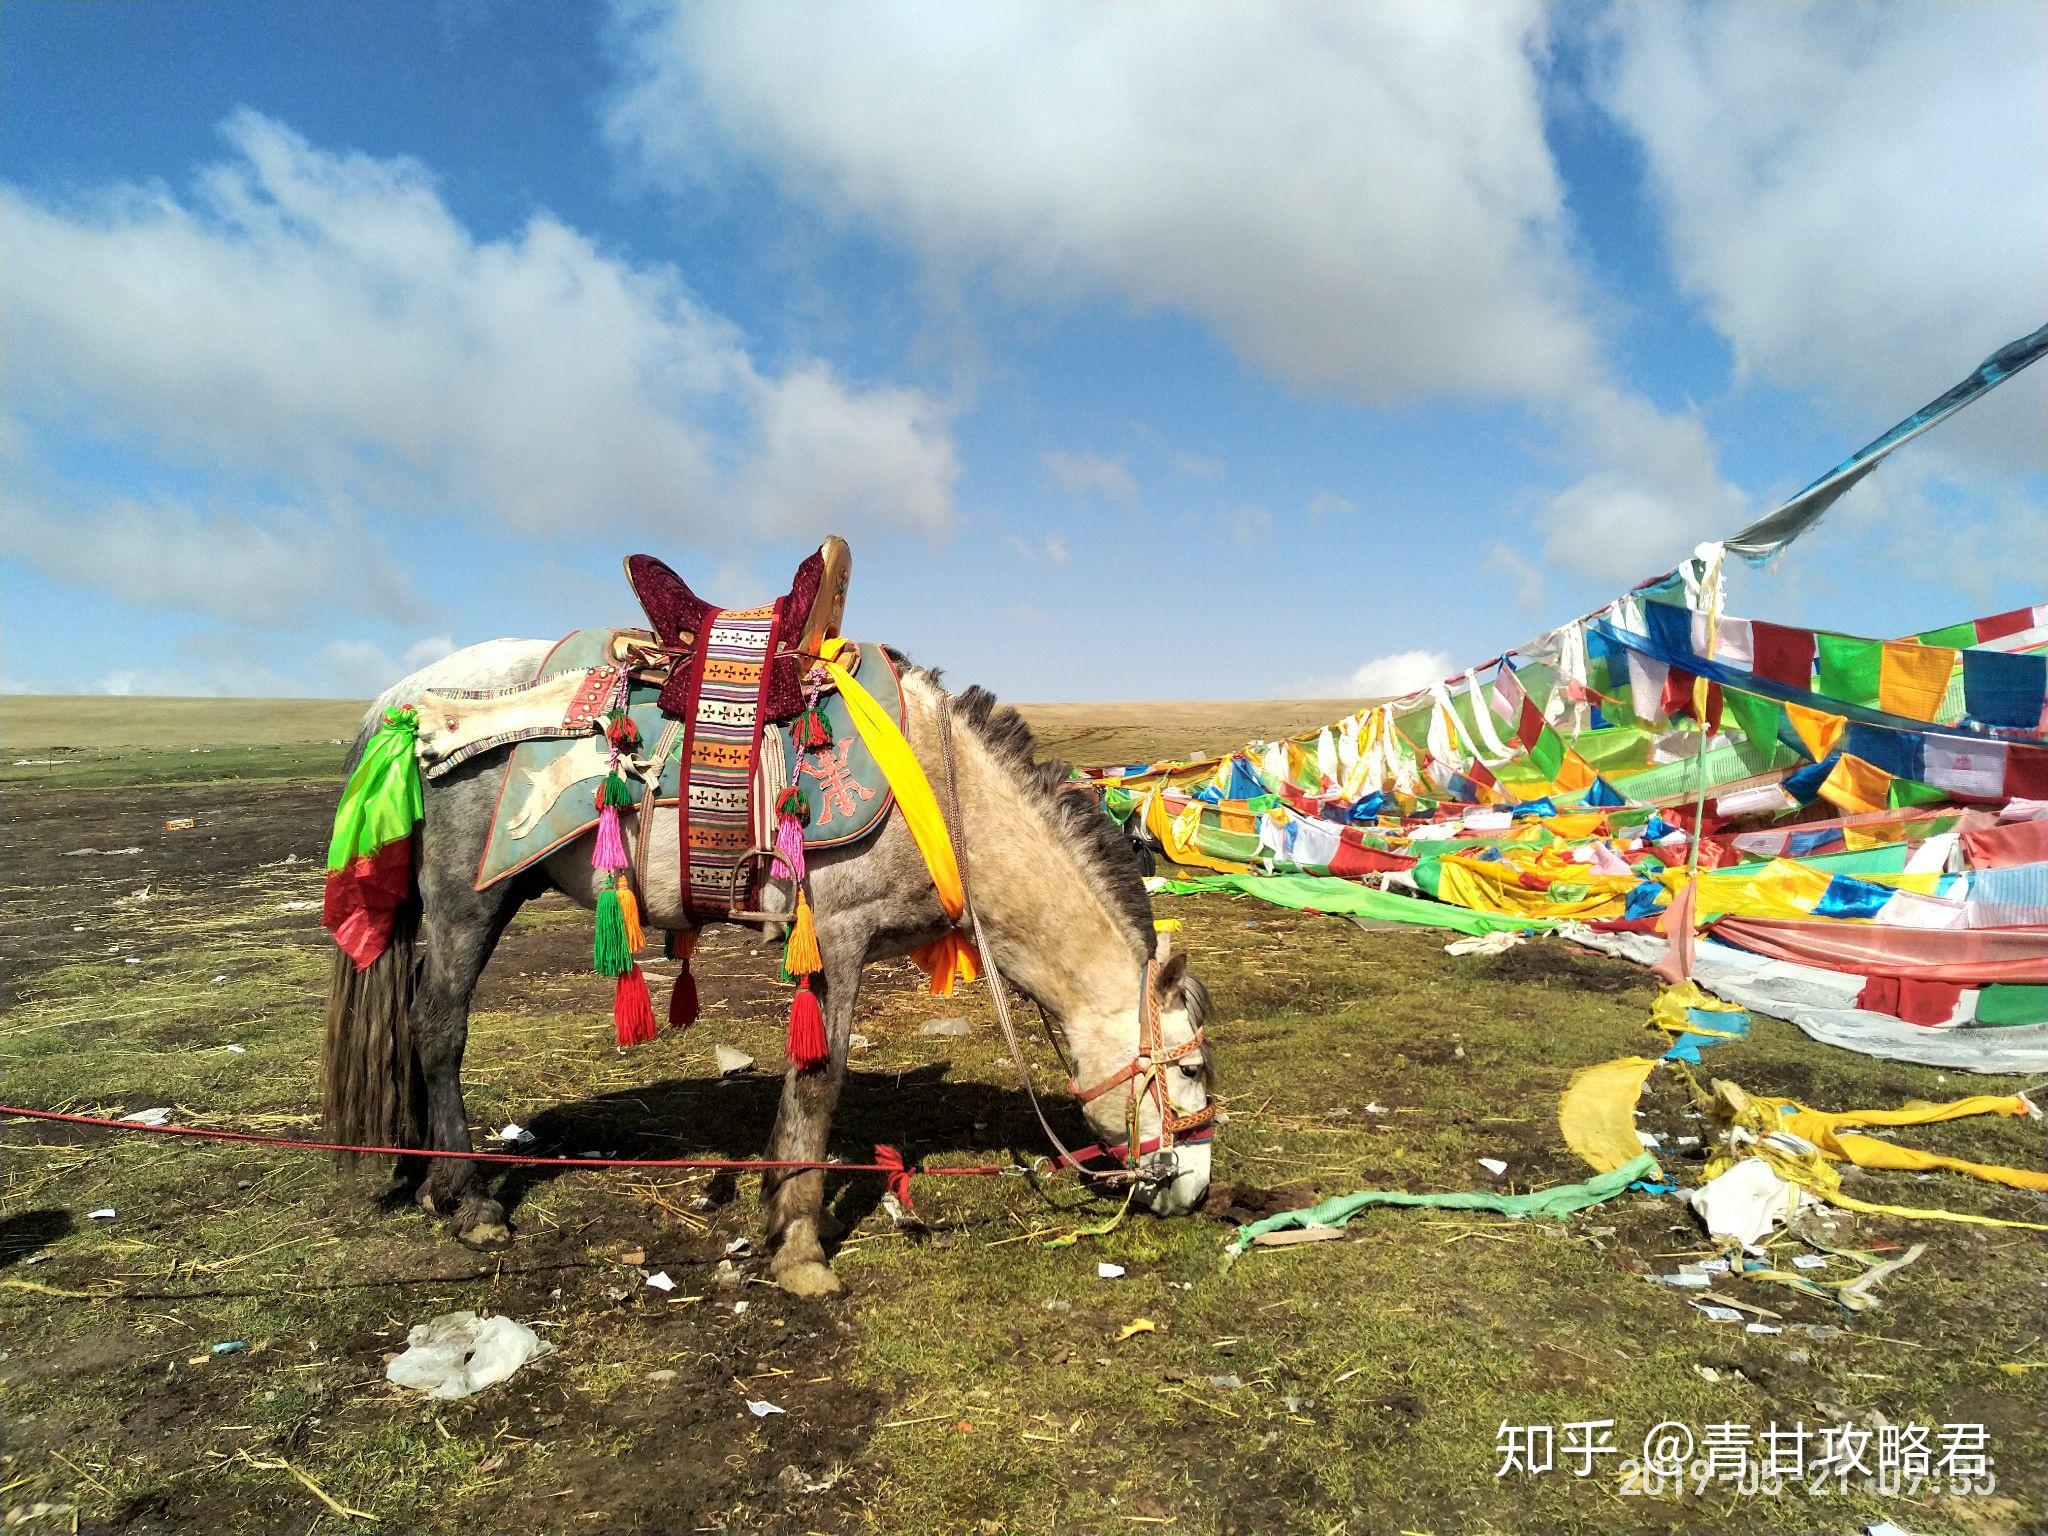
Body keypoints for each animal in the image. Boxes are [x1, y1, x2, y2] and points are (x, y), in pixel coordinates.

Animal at [321, 638, 1212, 1302]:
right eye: (1193, 1069)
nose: (1195, 1191)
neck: (943, 798)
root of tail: (396, 703)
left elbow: (797, 1081)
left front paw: (776, 1214)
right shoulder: (840, 938)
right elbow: (821, 1081)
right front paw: (804, 1254)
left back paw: (430, 1184)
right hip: (470, 897)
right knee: (439, 1028)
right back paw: (470, 1203)